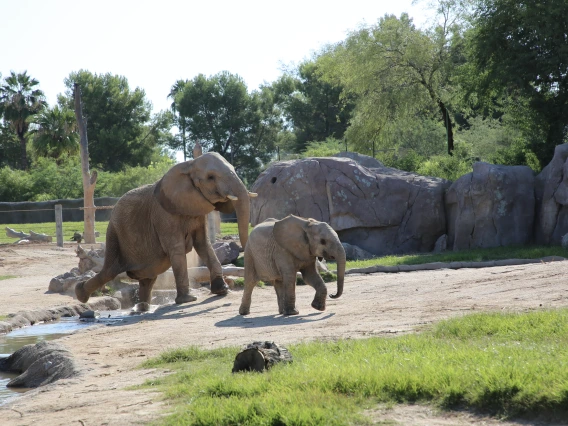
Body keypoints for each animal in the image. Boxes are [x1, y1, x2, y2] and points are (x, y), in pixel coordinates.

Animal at [75, 151, 253, 312]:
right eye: (210, 177)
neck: (188, 164)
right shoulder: (163, 216)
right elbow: (177, 249)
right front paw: (188, 300)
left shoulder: (197, 209)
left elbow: (204, 245)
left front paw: (222, 290)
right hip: (114, 232)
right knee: (110, 271)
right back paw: (80, 293)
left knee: (147, 277)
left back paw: (143, 308)